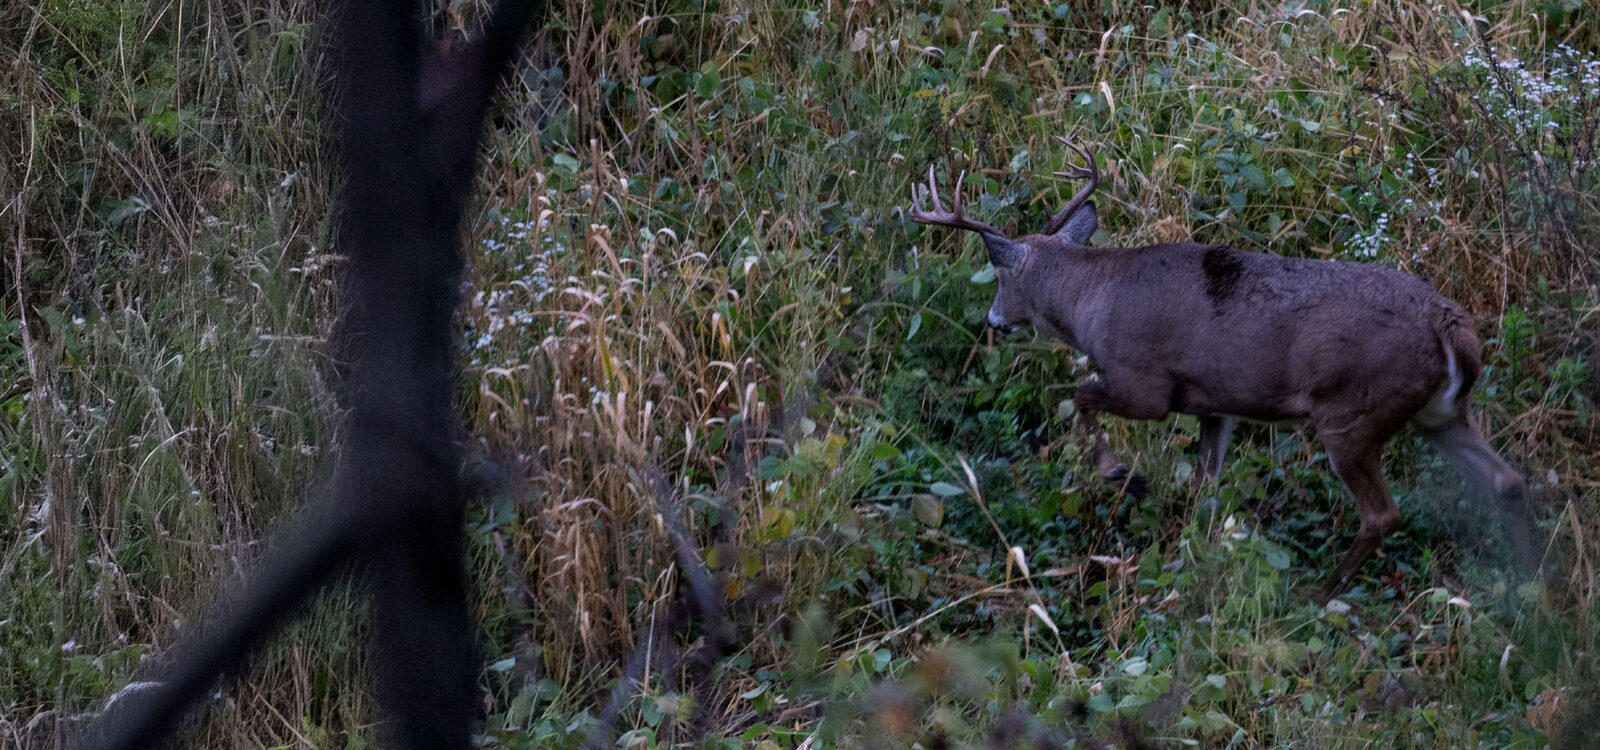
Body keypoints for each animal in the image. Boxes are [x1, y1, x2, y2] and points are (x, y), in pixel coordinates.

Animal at [908, 136, 1535, 602]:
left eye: (1001, 278)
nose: (993, 320)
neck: (1092, 302)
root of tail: (1450, 324)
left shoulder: (1145, 383)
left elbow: (1083, 396)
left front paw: (1119, 473)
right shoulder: (1216, 404)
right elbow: (1205, 488)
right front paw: (1189, 550)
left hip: (1351, 411)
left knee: (1384, 513)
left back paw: (1320, 591)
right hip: (1441, 411)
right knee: (1507, 480)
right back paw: (1528, 591)